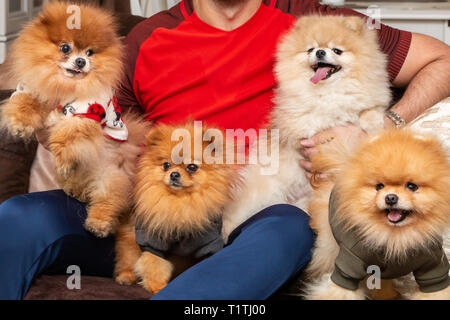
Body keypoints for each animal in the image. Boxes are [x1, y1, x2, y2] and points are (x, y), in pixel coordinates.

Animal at [0, 2, 148, 238]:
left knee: (109, 200)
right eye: (65, 48)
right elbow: (25, 100)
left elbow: (67, 133)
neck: (65, 85)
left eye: (90, 52)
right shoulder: (36, 89)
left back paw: (98, 223)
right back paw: (76, 190)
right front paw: (19, 124)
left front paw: (62, 158)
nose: (81, 60)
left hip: (108, 176)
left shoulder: (86, 111)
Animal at [114, 124, 237, 294]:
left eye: (192, 167)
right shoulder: (153, 241)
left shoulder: (209, 242)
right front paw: (157, 286)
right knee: (128, 258)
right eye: (166, 165)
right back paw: (126, 276)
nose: (174, 174)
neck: (179, 203)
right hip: (131, 240)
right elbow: (154, 264)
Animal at [221, 15, 390, 240]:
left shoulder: (371, 100)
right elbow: (308, 118)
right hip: (256, 192)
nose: (320, 52)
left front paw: (372, 124)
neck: (329, 90)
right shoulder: (295, 117)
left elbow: (369, 110)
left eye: (337, 50)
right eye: (311, 49)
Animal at [306, 130, 450, 300]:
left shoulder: (433, 265)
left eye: (411, 186)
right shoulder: (350, 261)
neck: (395, 238)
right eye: (379, 186)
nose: (391, 197)